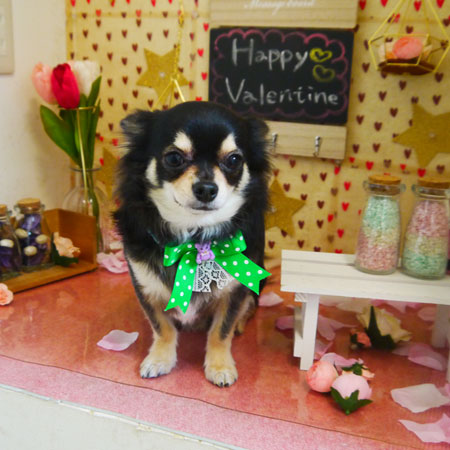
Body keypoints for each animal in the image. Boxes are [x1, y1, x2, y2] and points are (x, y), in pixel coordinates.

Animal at [115, 101, 271, 387]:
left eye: (234, 160)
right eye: (174, 158)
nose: (207, 188)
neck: (194, 237)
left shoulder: (235, 290)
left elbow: (221, 331)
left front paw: (219, 366)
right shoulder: (145, 286)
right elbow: (162, 327)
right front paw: (160, 359)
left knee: (249, 307)